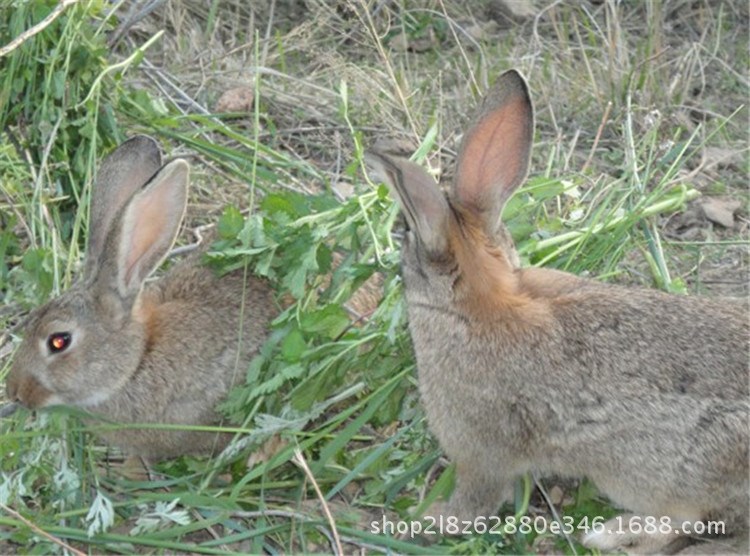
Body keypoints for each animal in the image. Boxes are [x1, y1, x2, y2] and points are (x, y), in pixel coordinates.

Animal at [368, 71, 748, 552]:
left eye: (404, 244)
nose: (387, 272)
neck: (475, 305)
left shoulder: (480, 453)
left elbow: (474, 502)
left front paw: (430, 519)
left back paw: (613, 534)